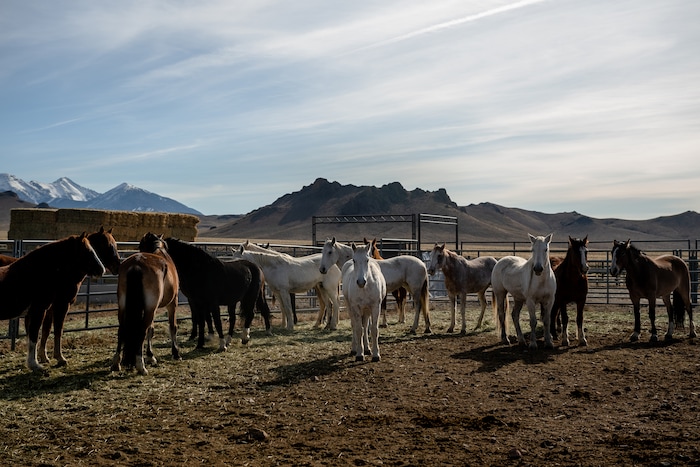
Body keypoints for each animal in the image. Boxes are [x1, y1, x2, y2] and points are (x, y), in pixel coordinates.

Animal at [111, 233, 180, 375]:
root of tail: (136, 264)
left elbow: (151, 330)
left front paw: (150, 356)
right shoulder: (172, 303)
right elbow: (172, 327)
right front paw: (175, 353)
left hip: (124, 307)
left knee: (122, 330)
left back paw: (116, 363)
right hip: (150, 309)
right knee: (141, 331)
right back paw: (141, 366)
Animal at [142, 237, 272, 350]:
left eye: (156, 249)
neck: (201, 270)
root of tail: (256, 267)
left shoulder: (212, 303)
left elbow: (217, 321)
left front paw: (221, 345)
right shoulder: (198, 303)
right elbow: (201, 321)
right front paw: (200, 344)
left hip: (252, 296)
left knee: (251, 313)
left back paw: (245, 337)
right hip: (233, 301)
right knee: (233, 318)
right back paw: (229, 340)